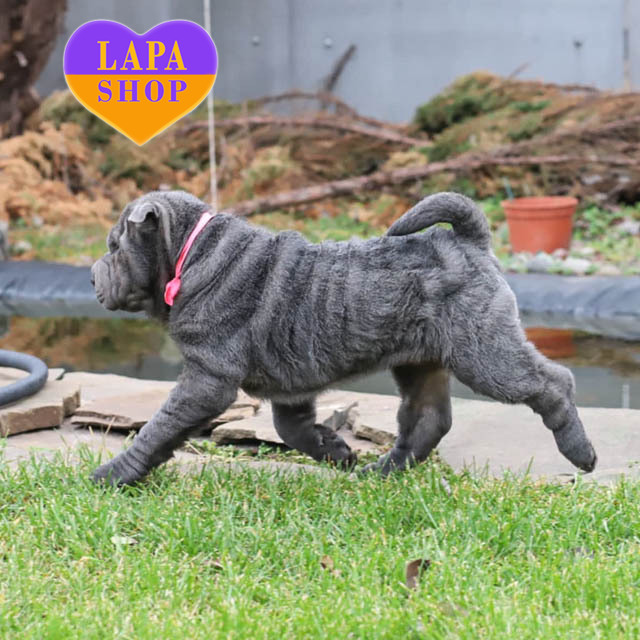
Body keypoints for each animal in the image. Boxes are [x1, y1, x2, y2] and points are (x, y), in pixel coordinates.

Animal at [91, 190, 597, 485]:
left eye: (115, 247)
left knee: (553, 383)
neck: (190, 254)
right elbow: (291, 428)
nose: (93, 275)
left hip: (485, 352)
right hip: (420, 361)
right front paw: (337, 453)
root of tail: (468, 242)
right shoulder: (289, 386)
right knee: (428, 418)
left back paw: (581, 453)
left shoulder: (207, 378)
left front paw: (114, 474)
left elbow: (160, 427)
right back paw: (382, 471)